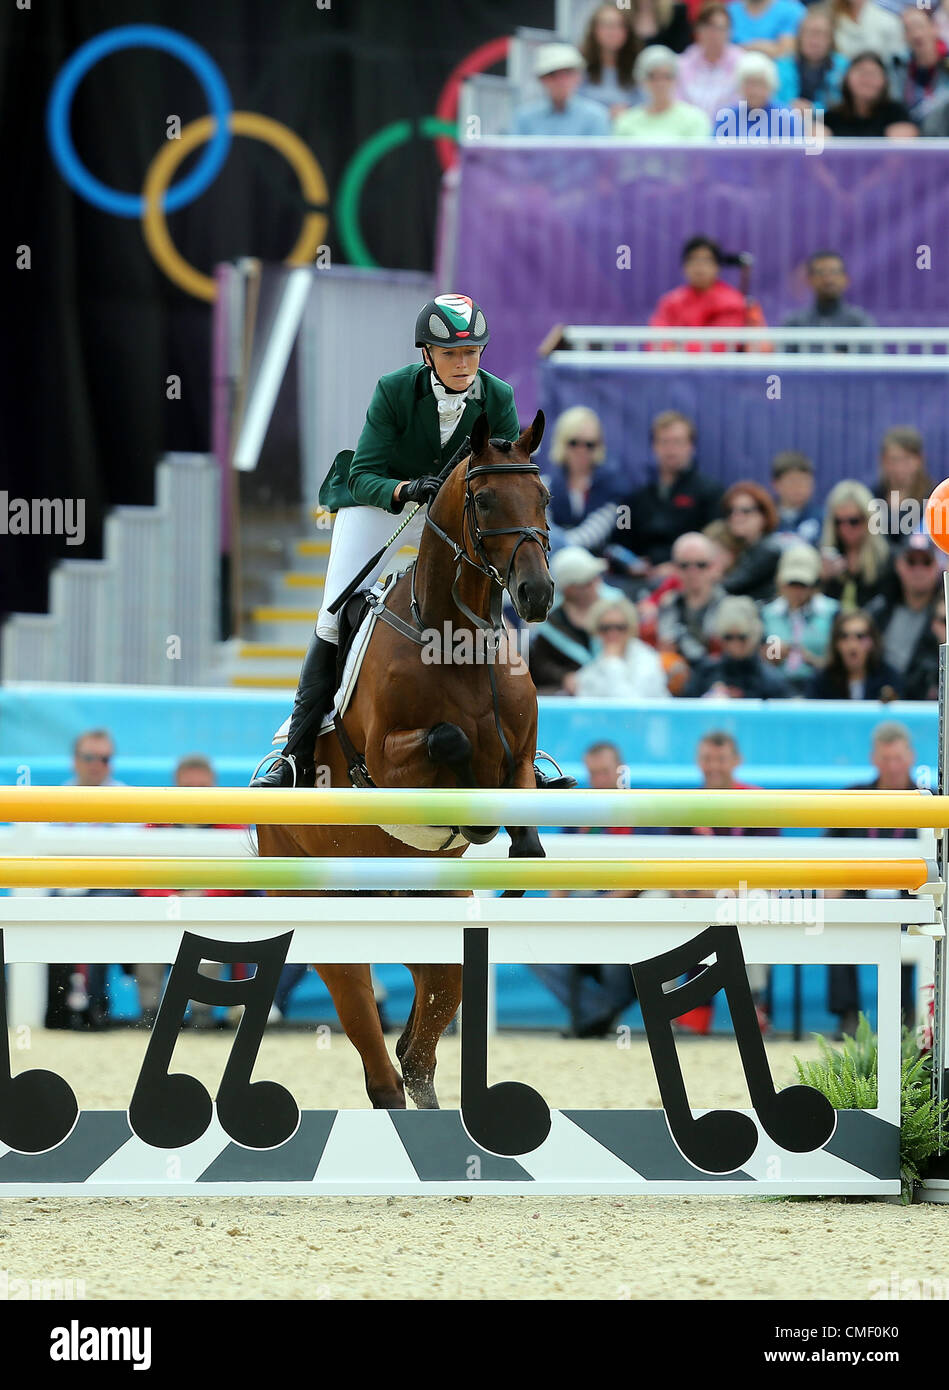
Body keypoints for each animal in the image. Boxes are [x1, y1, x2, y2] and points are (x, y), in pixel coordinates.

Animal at [258, 408, 555, 1106]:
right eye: (483, 500)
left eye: (544, 497)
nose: (536, 594)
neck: (456, 639)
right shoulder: (389, 765)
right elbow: (451, 740)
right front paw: (475, 815)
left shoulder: (521, 752)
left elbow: (522, 796)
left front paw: (516, 851)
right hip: (332, 930)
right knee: (383, 1070)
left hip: (435, 933)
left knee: (417, 1053)